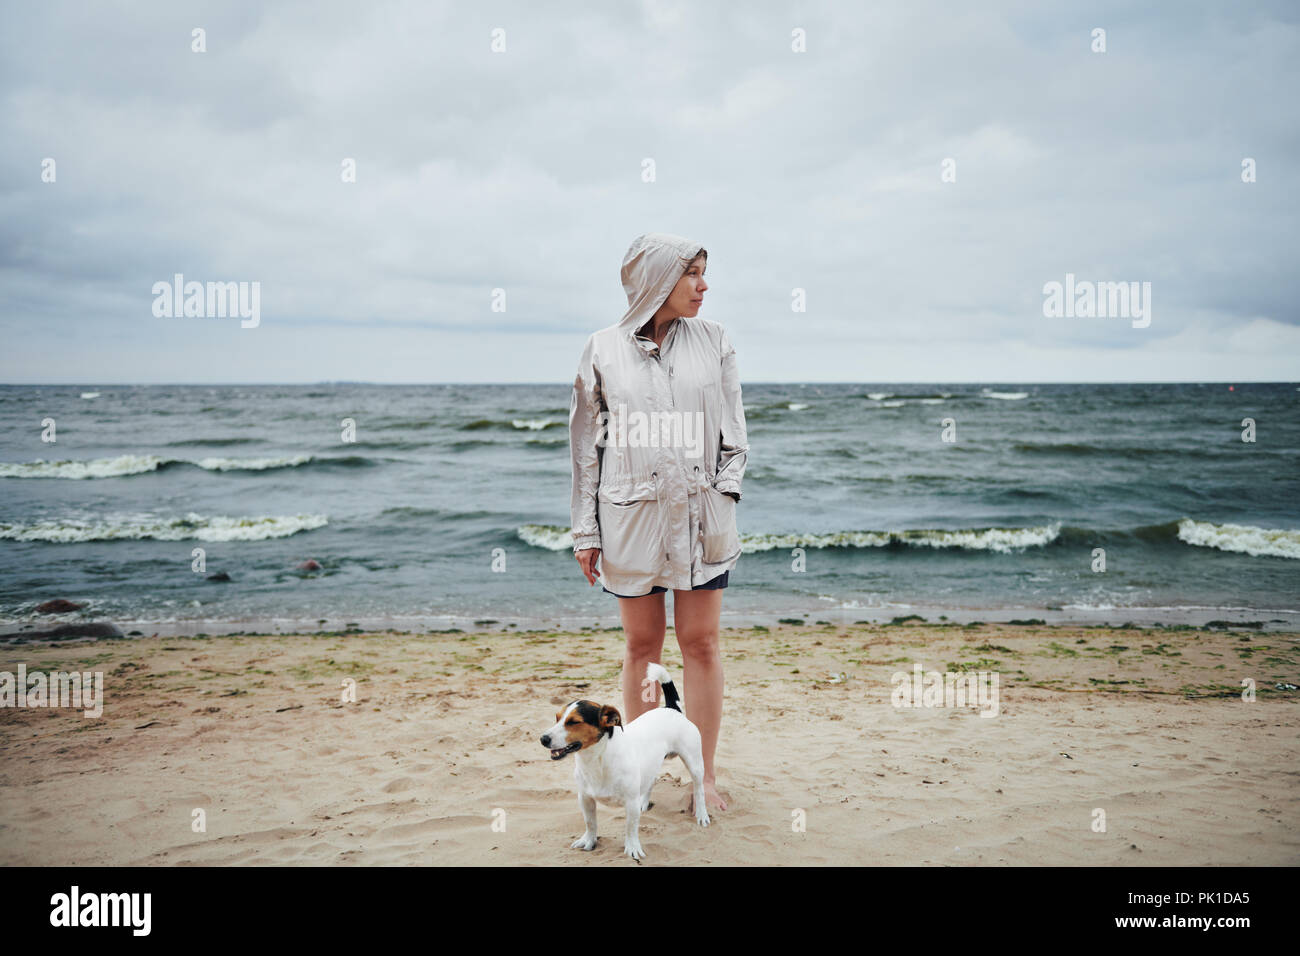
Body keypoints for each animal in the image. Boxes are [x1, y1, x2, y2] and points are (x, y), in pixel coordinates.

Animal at [540, 665, 712, 858]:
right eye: (557, 718)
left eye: (574, 722)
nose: (543, 739)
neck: (597, 759)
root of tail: (672, 709)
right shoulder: (585, 798)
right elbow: (590, 823)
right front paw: (589, 841)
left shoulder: (630, 803)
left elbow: (631, 828)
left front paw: (632, 848)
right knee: (651, 781)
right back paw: (644, 802)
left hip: (694, 763)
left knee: (699, 790)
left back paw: (701, 814)